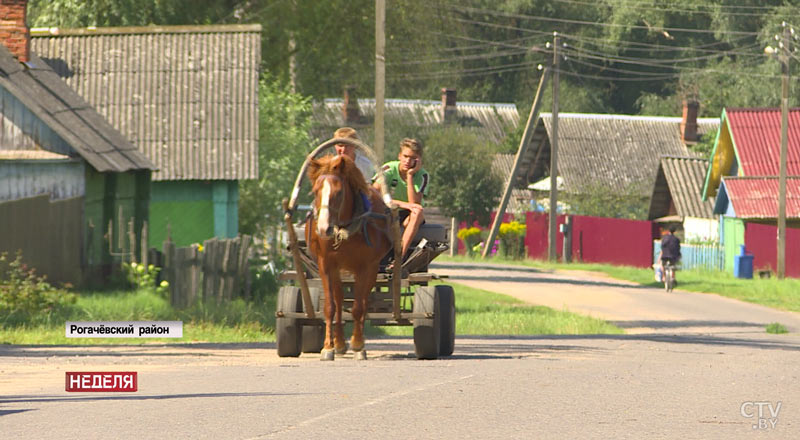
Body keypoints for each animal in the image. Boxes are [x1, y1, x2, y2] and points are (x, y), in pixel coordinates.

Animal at [306, 155, 390, 360]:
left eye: (339, 192)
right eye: (316, 191)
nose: (323, 229)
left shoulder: (366, 267)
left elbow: (358, 307)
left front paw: (358, 345)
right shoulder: (326, 265)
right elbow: (330, 307)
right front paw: (328, 347)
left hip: (371, 270)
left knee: (364, 302)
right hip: (338, 271)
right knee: (339, 300)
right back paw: (339, 343)